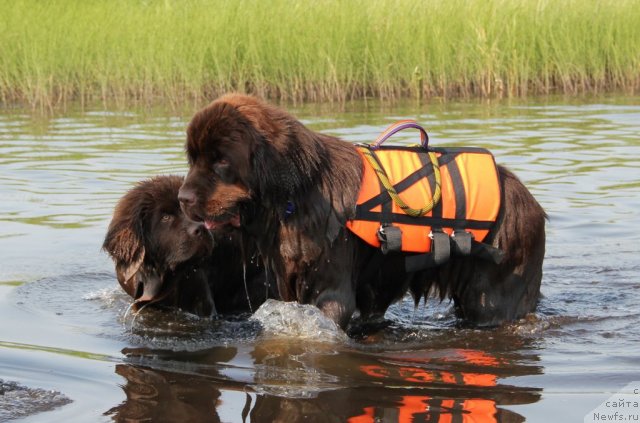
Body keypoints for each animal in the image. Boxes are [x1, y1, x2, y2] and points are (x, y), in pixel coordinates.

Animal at [179, 94, 544, 330]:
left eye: (221, 161)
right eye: (193, 159)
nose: (182, 198)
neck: (297, 192)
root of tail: (529, 200)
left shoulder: (330, 287)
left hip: (492, 295)